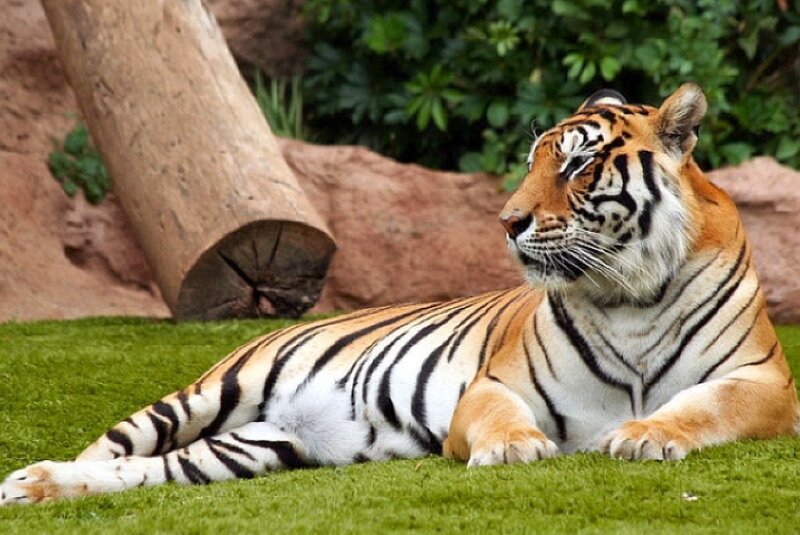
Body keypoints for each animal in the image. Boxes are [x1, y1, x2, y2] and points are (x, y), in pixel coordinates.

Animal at [2, 83, 798, 505]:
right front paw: (516, 450)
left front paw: (644, 434)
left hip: (250, 447)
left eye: (575, 166)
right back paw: (28, 479)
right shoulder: (493, 385)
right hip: (209, 392)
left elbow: (702, 405)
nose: (506, 221)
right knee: (113, 445)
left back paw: (41, 487)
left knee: (141, 471)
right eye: (533, 161)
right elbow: (502, 417)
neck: (629, 290)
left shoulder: (763, 383)